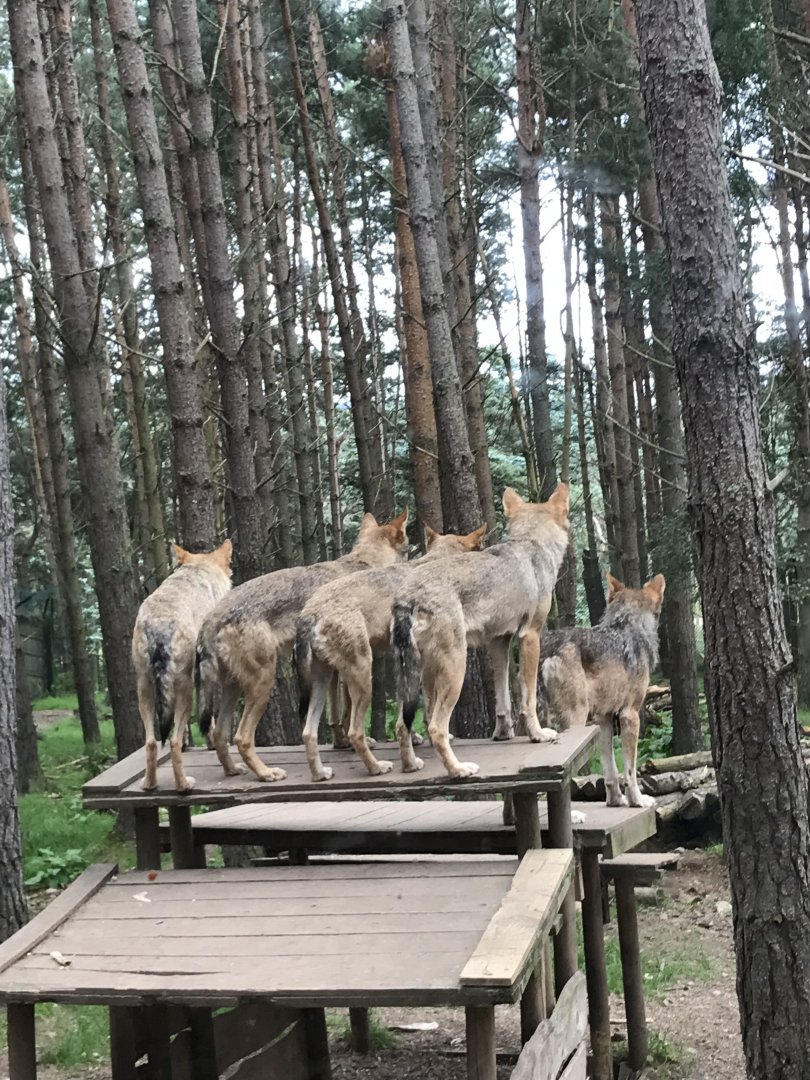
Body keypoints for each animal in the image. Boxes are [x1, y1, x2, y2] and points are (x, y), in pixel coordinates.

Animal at [132, 540, 233, 793]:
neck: (199, 570)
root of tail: (159, 626)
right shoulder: (204, 673)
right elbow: (209, 716)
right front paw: (211, 742)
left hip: (145, 690)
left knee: (152, 742)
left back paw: (149, 785)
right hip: (184, 690)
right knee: (173, 741)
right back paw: (184, 785)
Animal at [196, 510, 409, 782]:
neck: (364, 564)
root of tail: (212, 617)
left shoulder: (331, 670)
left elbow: (335, 713)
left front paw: (342, 743)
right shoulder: (348, 667)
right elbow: (345, 711)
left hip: (235, 687)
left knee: (219, 734)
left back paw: (233, 771)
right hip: (263, 684)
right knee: (241, 737)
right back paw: (266, 773)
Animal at [295, 523, 487, 782]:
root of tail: (310, 611)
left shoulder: (417, 667)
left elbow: (415, 714)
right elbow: (417, 717)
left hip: (323, 682)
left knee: (308, 732)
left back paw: (320, 774)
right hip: (364, 678)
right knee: (354, 732)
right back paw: (376, 768)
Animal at [391, 485, 570, 779]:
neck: (532, 544)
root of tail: (409, 594)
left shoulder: (499, 642)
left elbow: (503, 698)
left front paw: (503, 733)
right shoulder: (530, 637)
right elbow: (528, 698)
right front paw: (538, 734)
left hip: (419, 675)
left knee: (402, 725)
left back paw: (410, 766)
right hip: (456, 669)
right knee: (436, 728)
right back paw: (458, 770)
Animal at [540, 573, 666, 808]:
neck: (629, 625)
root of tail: (547, 648)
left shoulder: (604, 718)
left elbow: (611, 770)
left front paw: (616, 800)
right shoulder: (630, 715)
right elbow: (630, 770)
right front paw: (637, 800)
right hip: (575, 720)